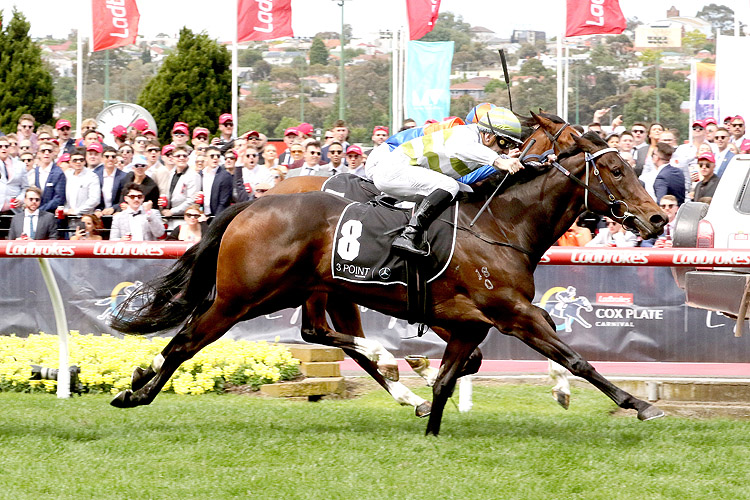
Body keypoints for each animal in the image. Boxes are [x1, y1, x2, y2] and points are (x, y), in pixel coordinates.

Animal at [110, 127, 664, 436]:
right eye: (616, 170)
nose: (657, 218)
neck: (500, 223)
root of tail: (251, 203)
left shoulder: (474, 318)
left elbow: (460, 369)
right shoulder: (509, 312)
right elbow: (573, 355)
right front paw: (637, 404)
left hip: (295, 292)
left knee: (309, 332)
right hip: (241, 296)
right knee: (187, 341)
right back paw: (135, 390)